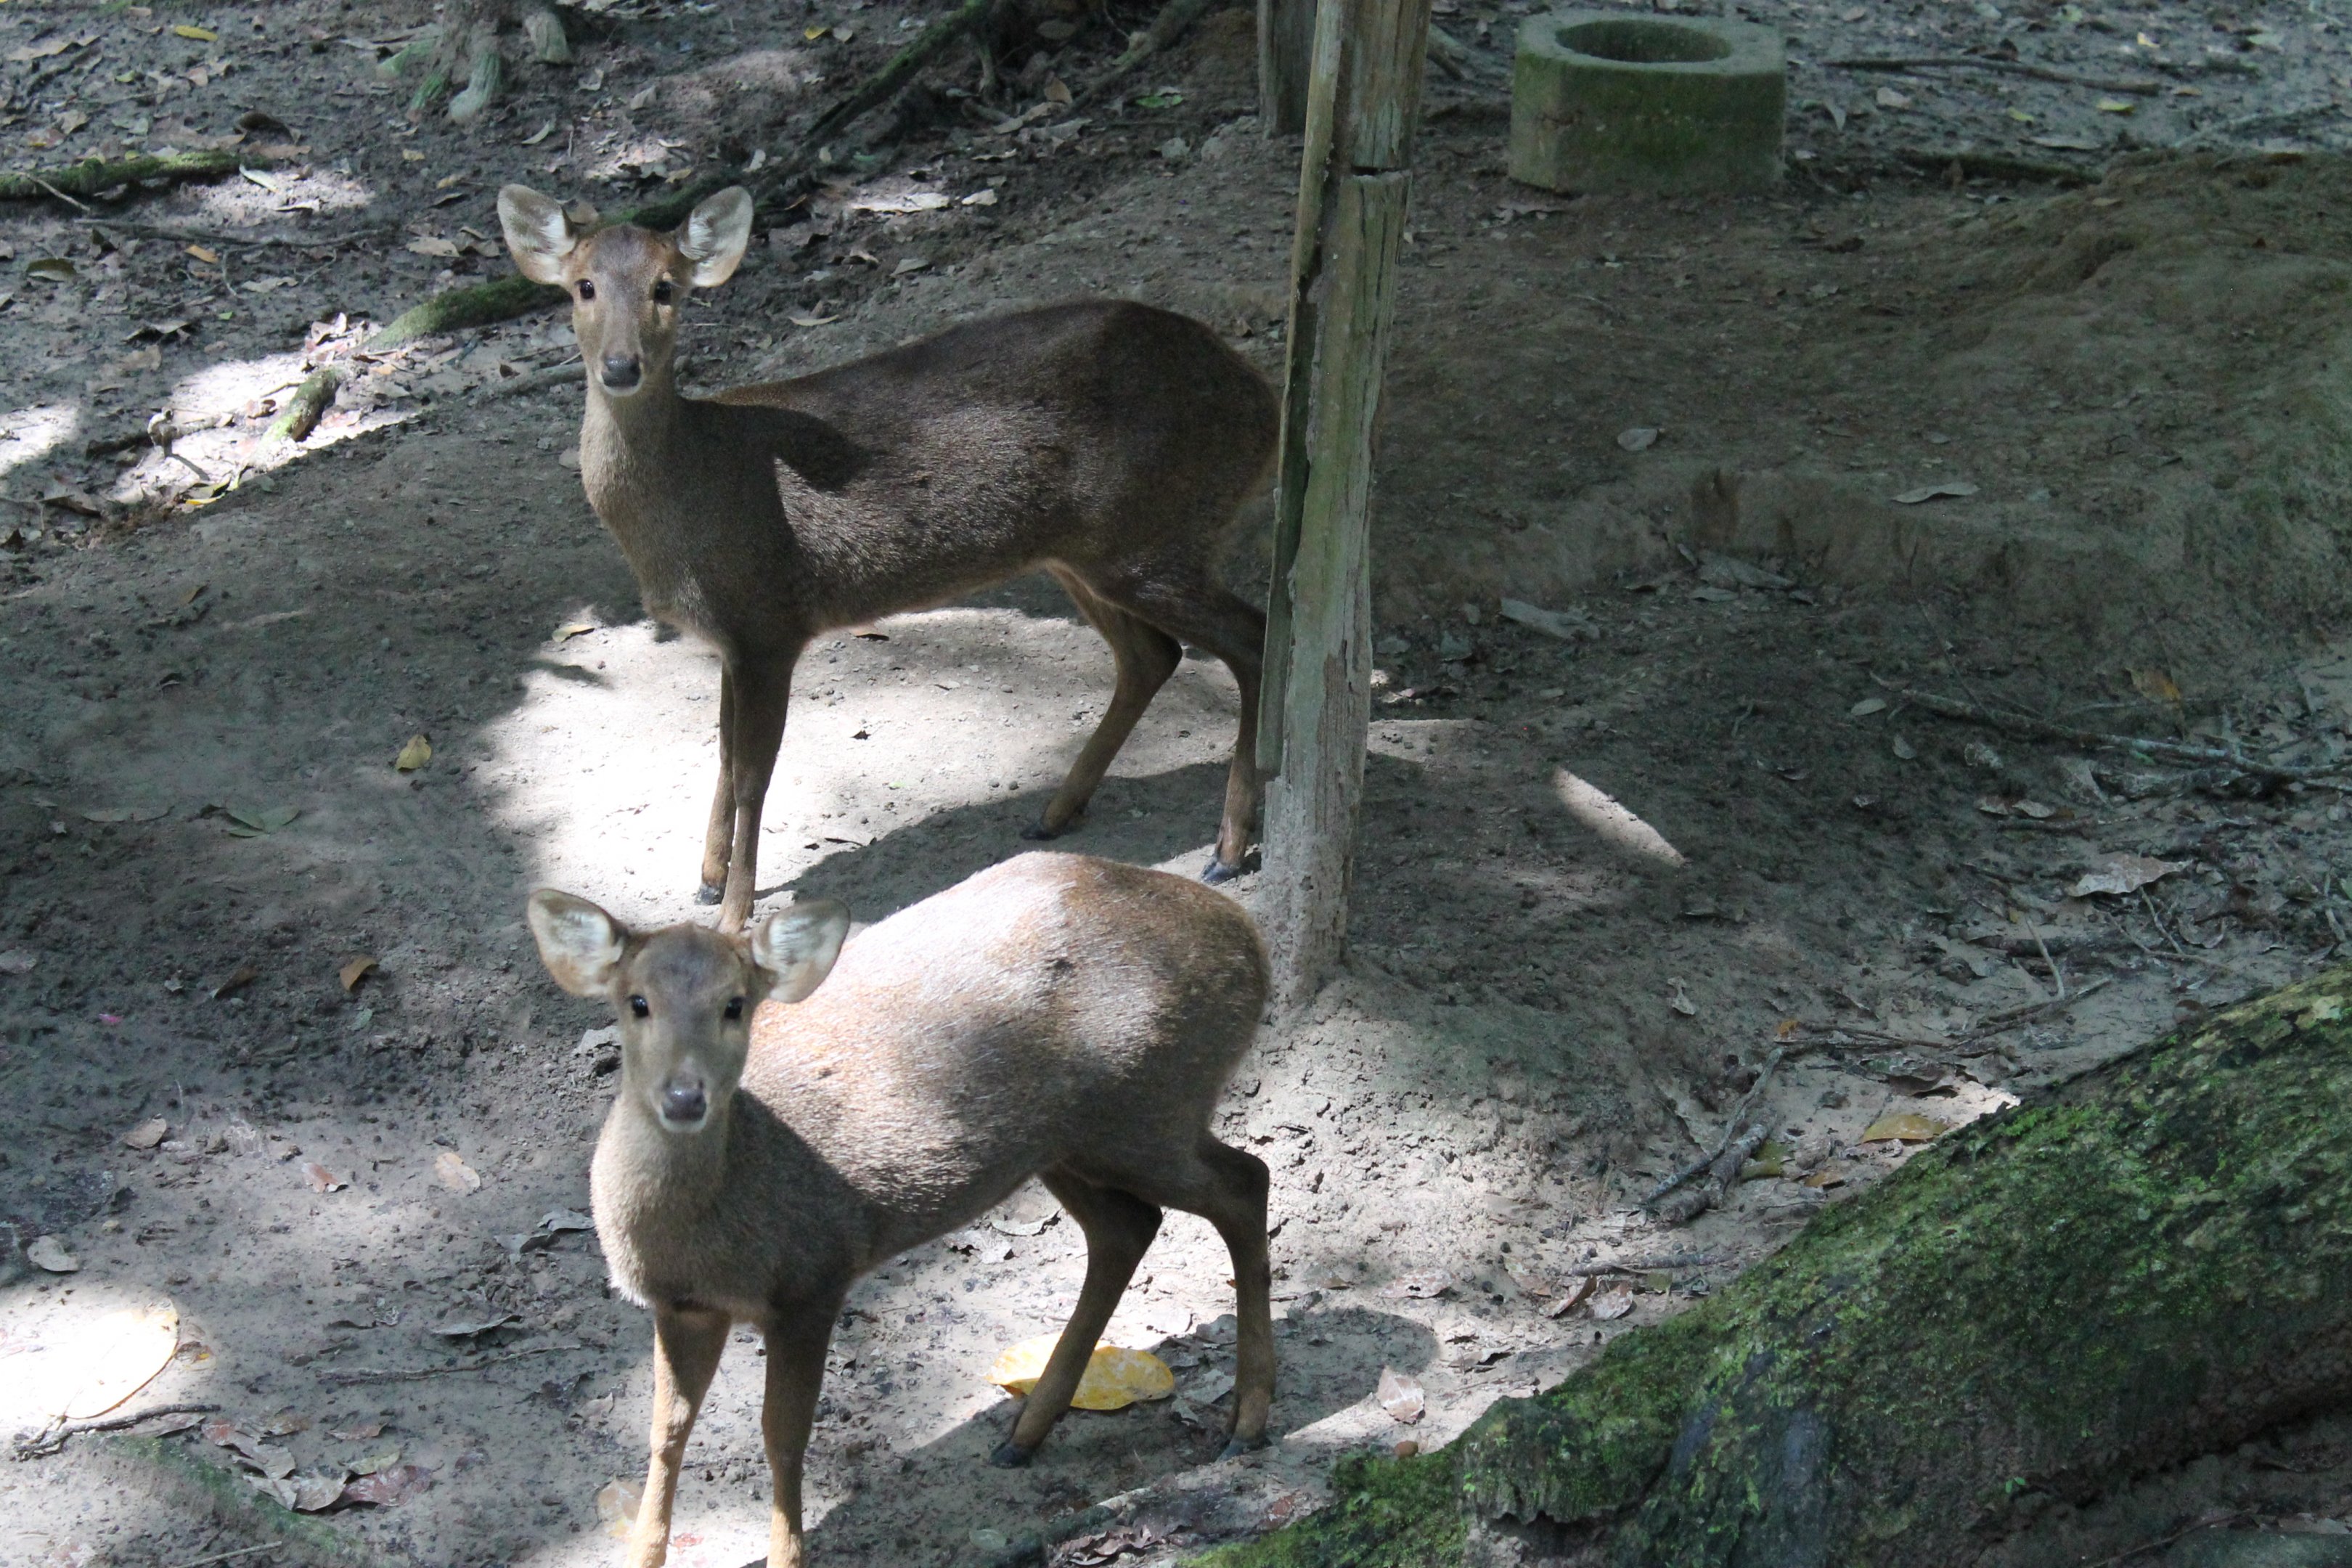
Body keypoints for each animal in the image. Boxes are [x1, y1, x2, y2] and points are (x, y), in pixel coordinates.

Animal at [498, 184, 1279, 934]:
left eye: (666, 287)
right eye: (583, 286)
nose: (621, 366)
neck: (694, 489)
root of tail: (1263, 404)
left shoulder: (769, 622)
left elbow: (753, 774)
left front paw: (732, 912)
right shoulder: (730, 637)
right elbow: (720, 755)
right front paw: (706, 879)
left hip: (1152, 532)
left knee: (1253, 638)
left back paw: (1228, 847)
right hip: (1082, 551)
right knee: (1155, 655)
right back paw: (1057, 812)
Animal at [528, 852, 1273, 1568]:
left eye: (735, 1004)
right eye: (637, 1002)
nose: (685, 1097)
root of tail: (1251, 945)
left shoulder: (813, 1276)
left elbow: (782, 1437)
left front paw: (789, 1556)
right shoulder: (682, 1307)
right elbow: (666, 1436)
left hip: (1151, 1107)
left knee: (1245, 1182)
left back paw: (1247, 1423)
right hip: (1068, 1144)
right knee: (1129, 1227)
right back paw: (1025, 1433)